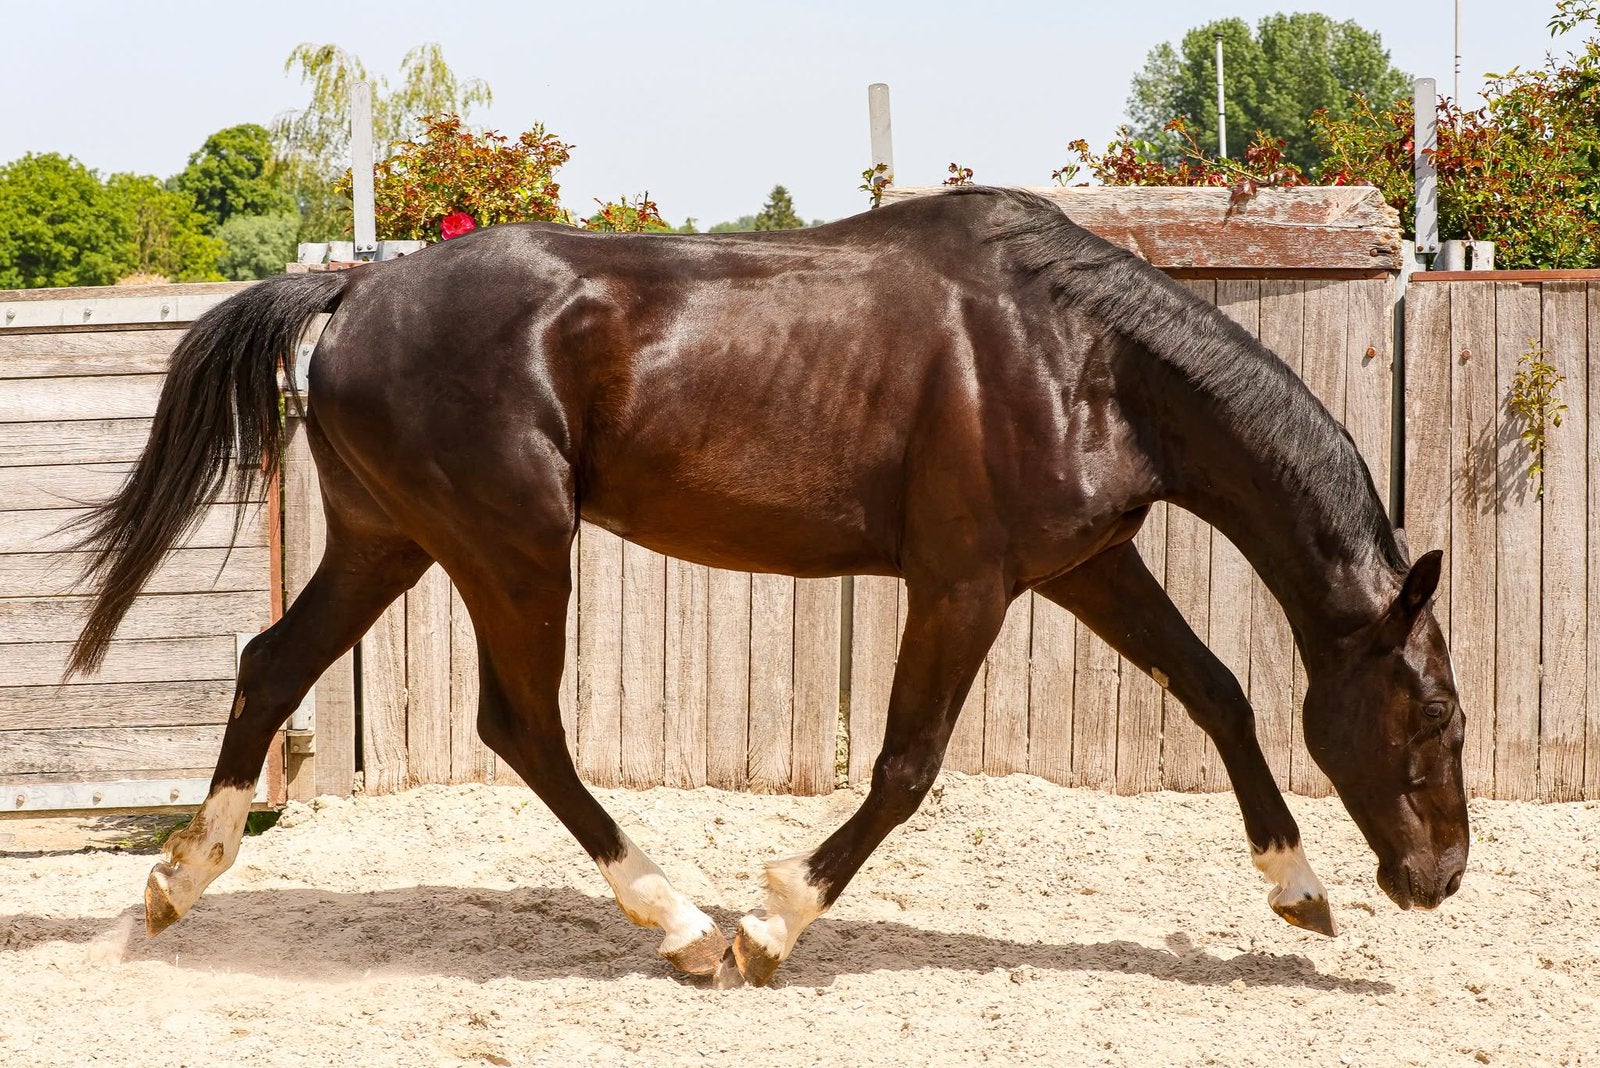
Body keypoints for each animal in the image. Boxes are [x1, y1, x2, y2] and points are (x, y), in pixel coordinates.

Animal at [67, 186, 1468, 987]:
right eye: (1436, 721)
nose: (1440, 877)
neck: (1081, 355)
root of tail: (354, 293)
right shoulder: (965, 584)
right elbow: (905, 769)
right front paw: (774, 924)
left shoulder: (1084, 567)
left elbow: (1219, 690)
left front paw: (1299, 892)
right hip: (512, 548)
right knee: (520, 727)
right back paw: (688, 928)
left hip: (386, 540)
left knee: (272, 668)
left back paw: (170, 889)